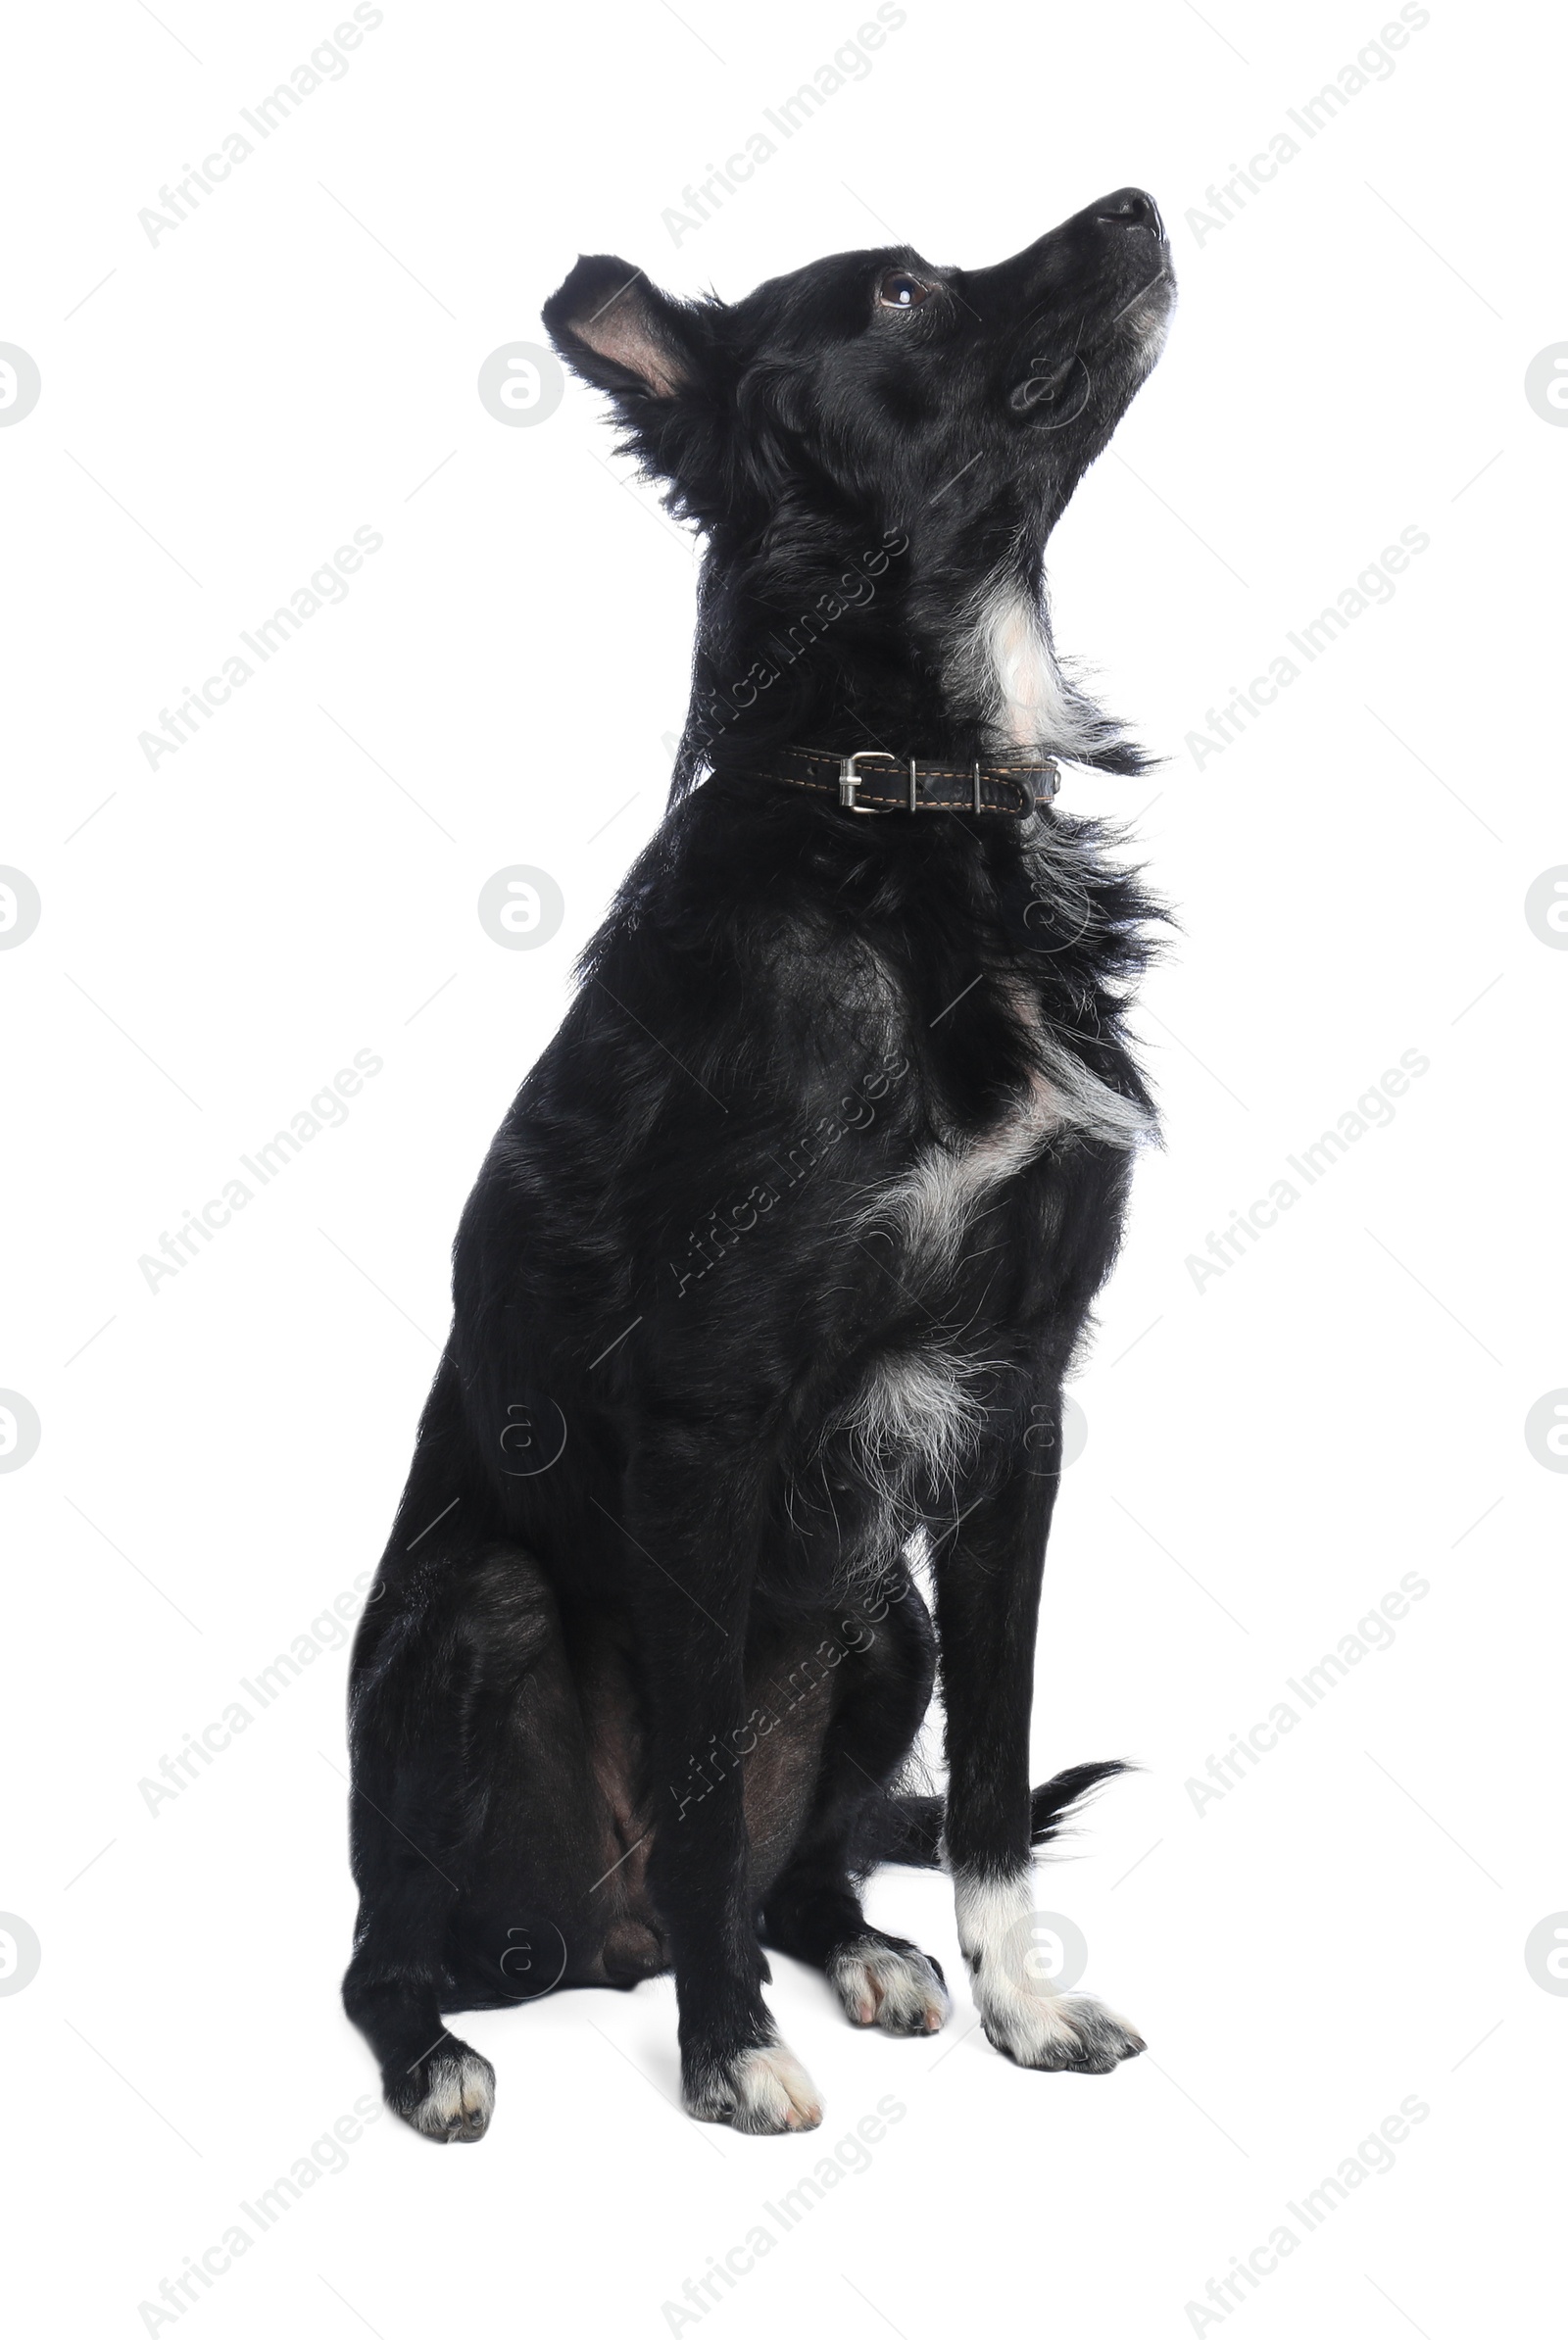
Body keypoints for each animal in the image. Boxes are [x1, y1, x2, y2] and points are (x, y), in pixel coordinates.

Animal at [346, 187, 1179, 2143]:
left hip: (884, 1622)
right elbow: (708, 1791)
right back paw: (447, 2053)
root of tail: (595, 1949)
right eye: (901, 291)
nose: (1136, 204)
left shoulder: (1020, 1399)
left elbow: (996, 1771)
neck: (904, 811)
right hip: (476, 1614)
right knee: (388, 1947)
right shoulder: (703, 1425)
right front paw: (729, 2052)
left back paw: (865, 1953)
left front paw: (1025, 2011)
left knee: (819, 1861)